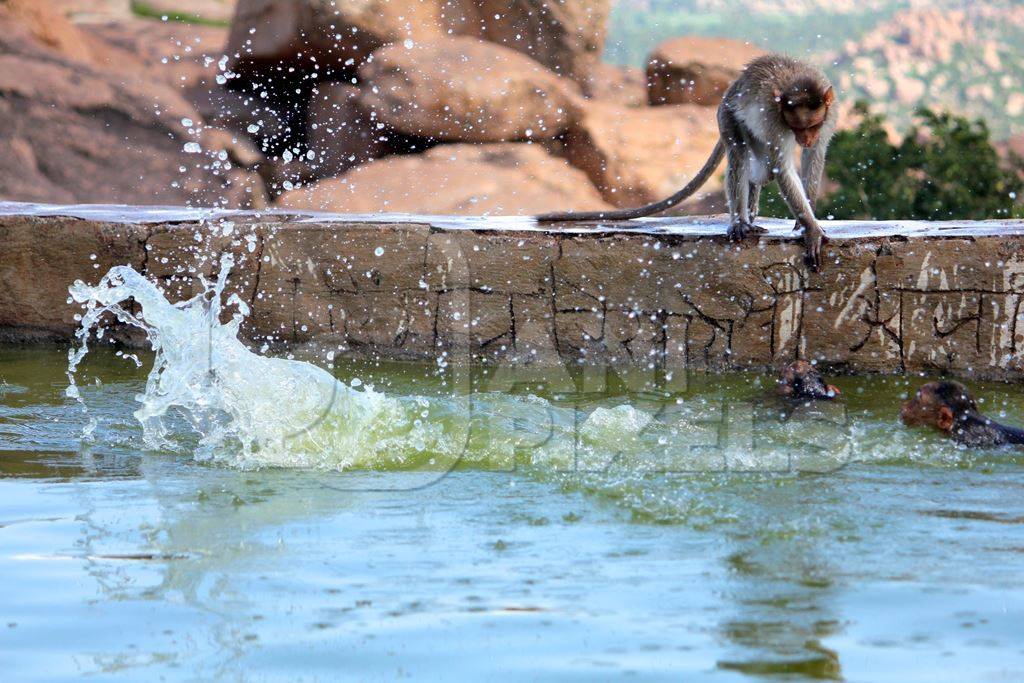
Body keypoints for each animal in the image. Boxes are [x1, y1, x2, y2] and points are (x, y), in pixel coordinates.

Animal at [536, 53, 839, 270]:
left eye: (812, 126)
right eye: (798, 126)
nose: (806, 138)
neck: (796, 81)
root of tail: (731, 90)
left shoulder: (829, 113)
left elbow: (814, 156)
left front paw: (806, 216)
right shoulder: (776, 122)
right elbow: (782, 167)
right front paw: (811, 228)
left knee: (760, 171)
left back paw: (751, 209)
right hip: (728, 116)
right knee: (740, 157)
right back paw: (740, 221)